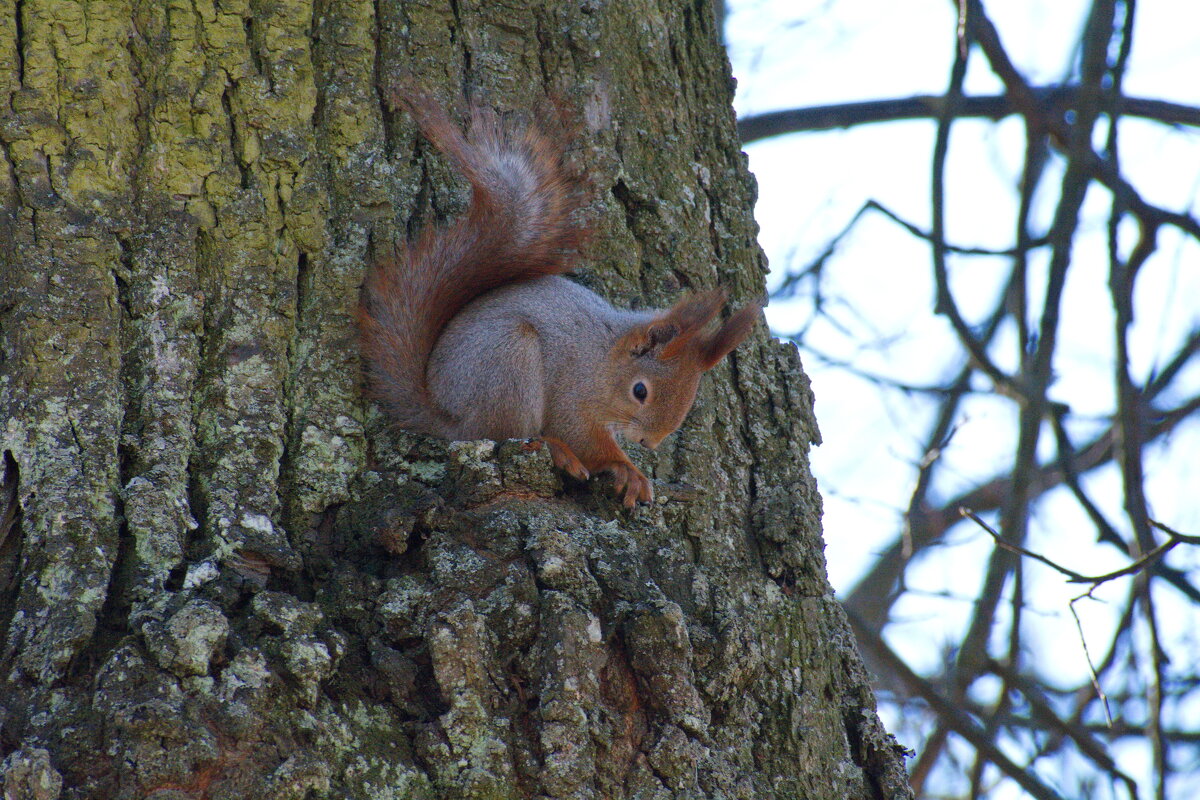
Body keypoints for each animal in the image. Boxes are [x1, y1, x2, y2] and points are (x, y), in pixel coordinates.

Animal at [352, 94, 758, 506]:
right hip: (508, 364)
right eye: (640, 391)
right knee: (502, 434)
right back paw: (556, 450)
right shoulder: (572, 390)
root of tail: (443, 415)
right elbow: (583, 437)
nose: (650, 442)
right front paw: (628, 470)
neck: (604, 358)